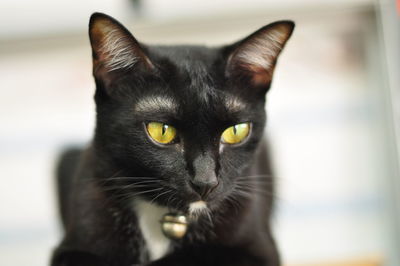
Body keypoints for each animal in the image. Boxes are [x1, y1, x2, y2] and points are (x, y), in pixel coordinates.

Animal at [50, 12, 294, 266]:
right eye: (162, 131)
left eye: (236, 131)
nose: (205, 182)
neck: (167, 218)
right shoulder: (72, 244)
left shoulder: (258, 250)